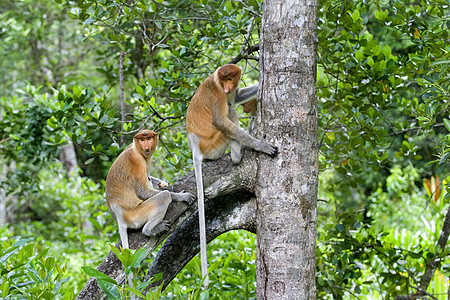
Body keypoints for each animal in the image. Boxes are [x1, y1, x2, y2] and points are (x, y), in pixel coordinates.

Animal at [105, 129, 193, 292]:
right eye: (142, 139)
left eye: (149, 138)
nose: (146, 146)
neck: (136, 148)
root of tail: (119, 215)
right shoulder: (137, 160)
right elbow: (143, 191)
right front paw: (181, 196)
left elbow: (150, 178)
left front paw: (166, 184)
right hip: (136, 214)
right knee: (163, 198)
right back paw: (150, 230)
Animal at [185, 63, 276, 288]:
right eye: (224, 80)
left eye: (231, 79)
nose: (227, 88)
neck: (218, 81)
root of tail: (195, 147)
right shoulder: (217, 94)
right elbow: (221, 120)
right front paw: (261, 145)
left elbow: (238, 96)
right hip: (213, 144)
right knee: (230, 113)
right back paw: (238, 154)